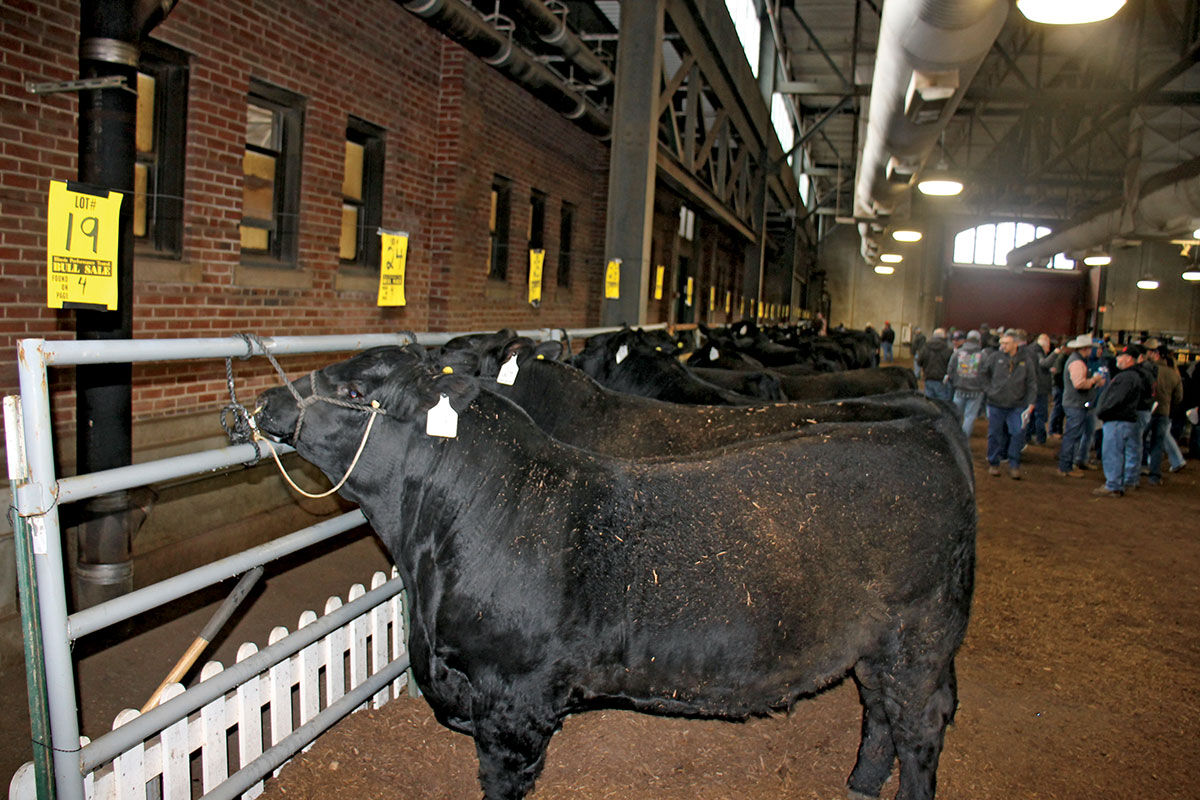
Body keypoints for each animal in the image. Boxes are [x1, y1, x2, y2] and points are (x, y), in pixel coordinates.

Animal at [255, 345, 976, 800]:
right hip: (878, 649)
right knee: (879, 715)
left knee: (918, 730)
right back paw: (859, 785)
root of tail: (922, 430)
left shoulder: (515, 700)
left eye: (354, 391)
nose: (264, 398)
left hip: (920, 643)